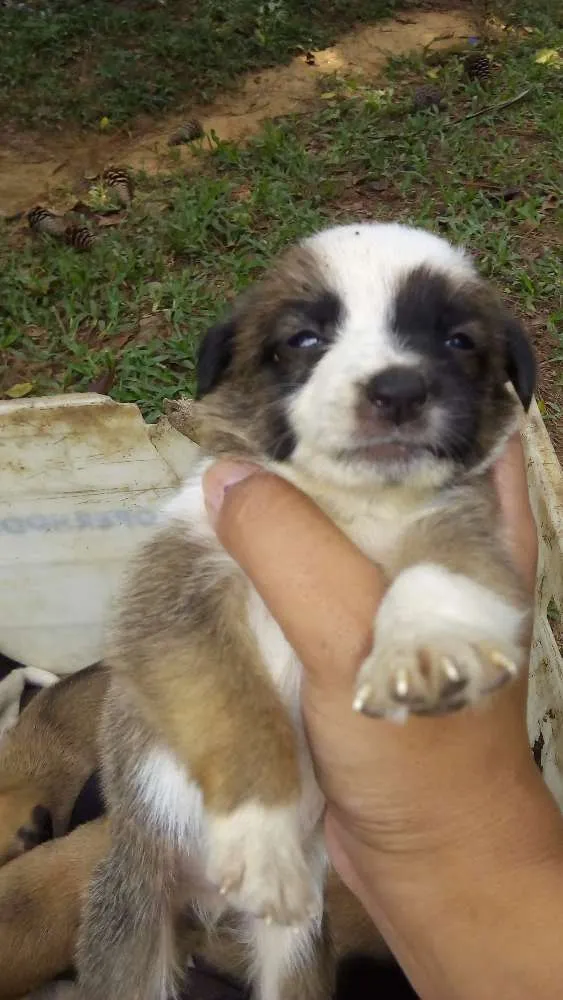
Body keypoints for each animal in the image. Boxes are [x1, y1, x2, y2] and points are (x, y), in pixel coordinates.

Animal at [76, 223, 536, 1000]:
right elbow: (241, 712)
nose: (397, 390)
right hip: (131, 924)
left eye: (457, 341)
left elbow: (442, 571)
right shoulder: (179, 596)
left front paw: (426, 645)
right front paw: (263, 835)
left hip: (292, 955)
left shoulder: (463, 519)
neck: (350, 503)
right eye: (304, 340)